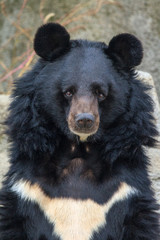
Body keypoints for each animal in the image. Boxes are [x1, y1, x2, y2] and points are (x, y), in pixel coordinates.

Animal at [0, 23, 159, 240]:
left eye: (101, 93)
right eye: (68, 92)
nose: (84, 120)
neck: (79, 147)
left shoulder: (127, 190)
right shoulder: (27, 190)